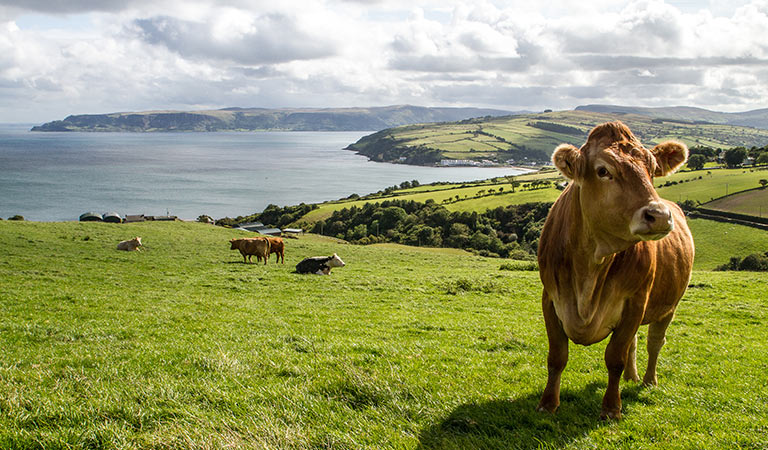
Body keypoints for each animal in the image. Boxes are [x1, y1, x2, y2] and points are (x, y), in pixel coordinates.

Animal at [536, 121, 696, 420]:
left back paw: (648, 380)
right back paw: (632, 377)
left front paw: (611, 408)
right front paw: (548, 404)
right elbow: (557, 356)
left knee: (654, 342)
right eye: (603, 170)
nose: (659, 215)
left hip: (669, 306)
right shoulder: (550, 298)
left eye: (652, 169)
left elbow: (615, 357)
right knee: (635, 342)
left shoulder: (635, 301)